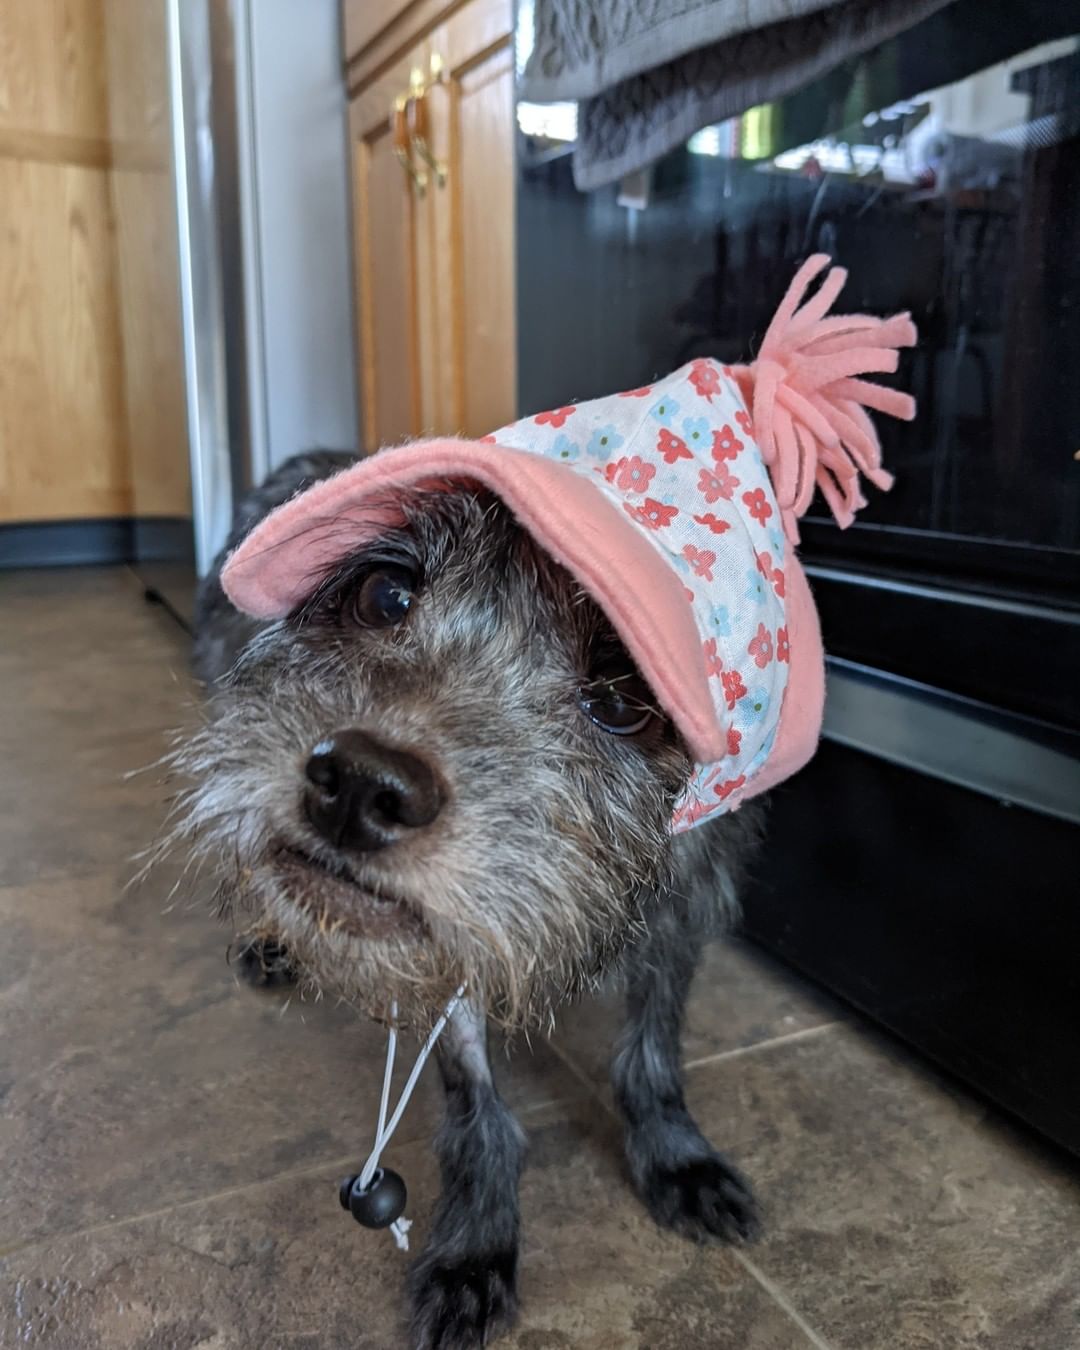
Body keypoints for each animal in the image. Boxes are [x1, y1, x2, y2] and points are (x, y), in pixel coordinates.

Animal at [176, 450, 761, 1350]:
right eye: (384, 594)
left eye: (622, 698)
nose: (361, 785)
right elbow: (476, 1106)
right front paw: (477, 1246)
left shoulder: (685, 907)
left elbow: (653, 1053)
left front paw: (677, 1155)